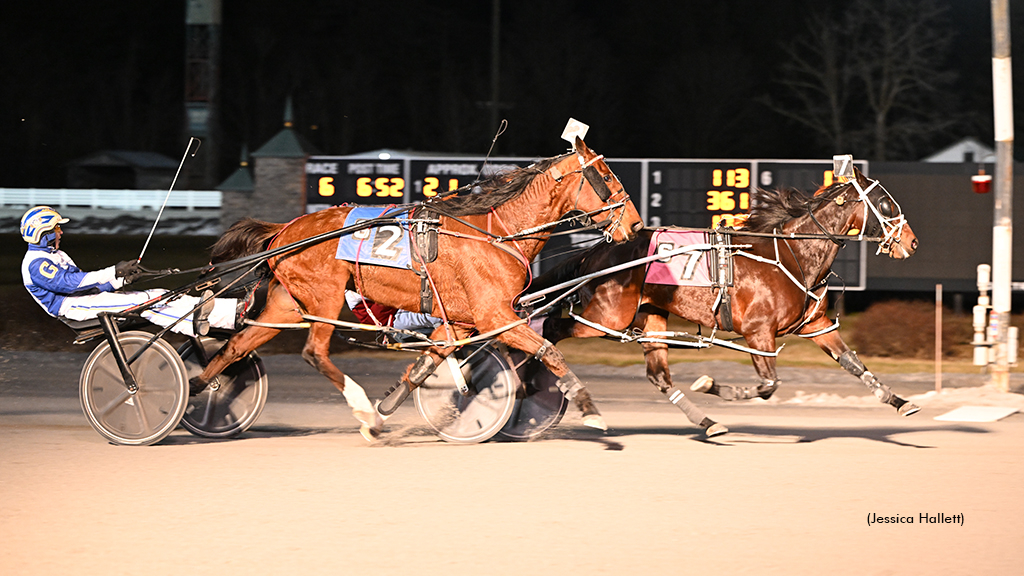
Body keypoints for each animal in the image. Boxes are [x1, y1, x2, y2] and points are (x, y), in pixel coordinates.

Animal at [190, 136, 638, 436]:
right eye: (605, 174)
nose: (634, 224)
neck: (497, 233)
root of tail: (285, 229)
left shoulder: (458, 323)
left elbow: (426, 366)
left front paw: (390, 411)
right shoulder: (496, 315)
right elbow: (549, 351)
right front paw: (591, 409)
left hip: (286, 304)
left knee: (238, 345)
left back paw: (199, 387)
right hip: (326, 296)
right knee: (314, 352)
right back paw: (358, 403)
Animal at [544, 163, 921, 432]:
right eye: (886, 204)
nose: (913, 242)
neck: (793, 255)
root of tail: (596, 252)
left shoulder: (816, 325)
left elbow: (854, 363)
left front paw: (901, 401)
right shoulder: (758, 333)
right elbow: (768, 385)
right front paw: (712, 385)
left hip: (649, 316)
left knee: (659, 376)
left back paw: (708, 423)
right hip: (607, 317)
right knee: (550, 333)